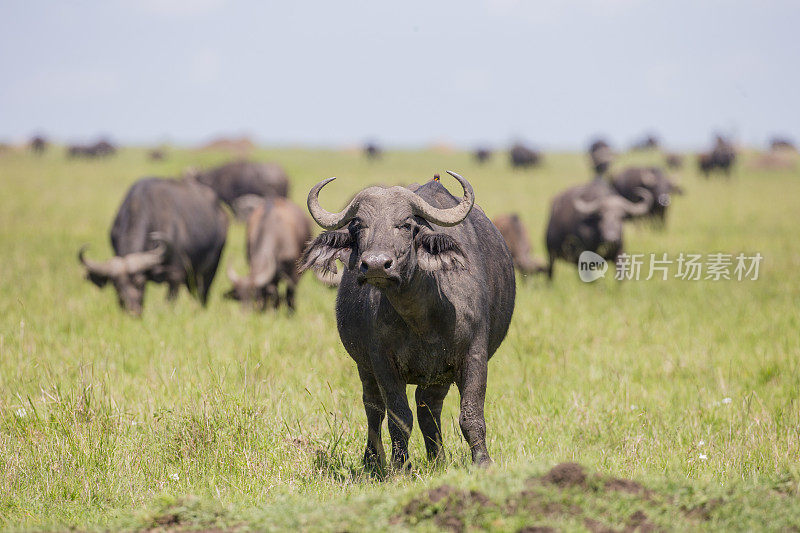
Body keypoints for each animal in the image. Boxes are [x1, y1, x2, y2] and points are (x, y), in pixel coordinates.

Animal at [79, 177, 228, 314]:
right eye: (116, 285)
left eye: (140, 281)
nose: (132, 310)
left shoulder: (175, 275)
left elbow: (170, 302)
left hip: (210, 270)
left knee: (202, 294)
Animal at [298, 171, 512, 466]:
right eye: (358, 225)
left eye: (405, 224)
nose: (376, 265)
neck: (422, 319)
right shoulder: (382, 362)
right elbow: (399, 418)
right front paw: (400, 466)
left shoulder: (474, 355)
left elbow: (470, 415)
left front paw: (482, 462)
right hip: (366, 367)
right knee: (375, 408)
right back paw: (373, 461)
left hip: (437, 376)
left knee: (428, 407)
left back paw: (437, 459)